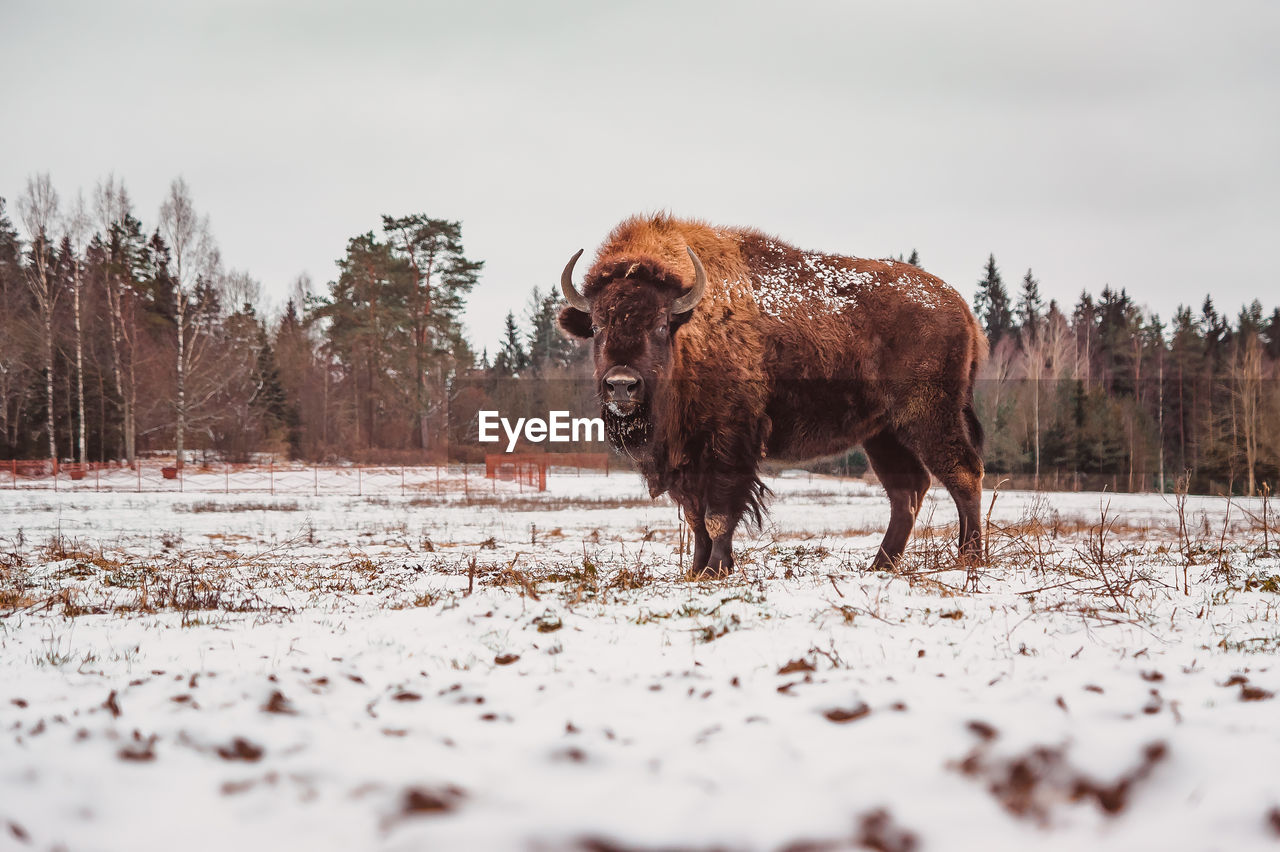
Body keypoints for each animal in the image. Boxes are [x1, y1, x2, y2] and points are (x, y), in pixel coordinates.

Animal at [555, 213, 983, 578]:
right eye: (597, 326)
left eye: (660, 324)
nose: (621, 384)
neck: (689, 329)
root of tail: (961, 307)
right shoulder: (686, 458)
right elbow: (695, 518)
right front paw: (698, 570)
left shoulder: (730, 442)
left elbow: (718, 515)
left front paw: (715, 570)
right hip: (882, 433)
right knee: (907, 490)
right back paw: (880, 564)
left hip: (929, 416)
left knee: (963, 473)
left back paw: (970, 557)